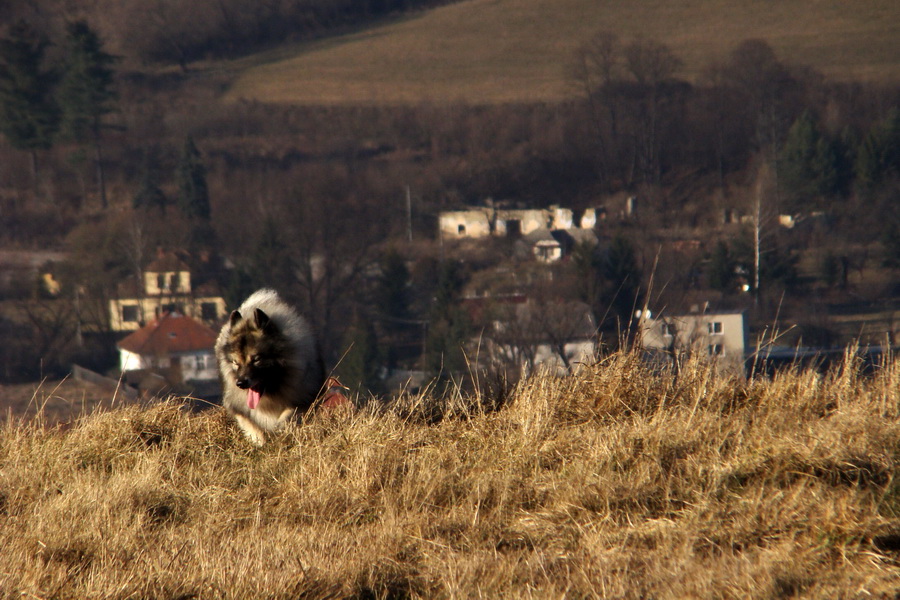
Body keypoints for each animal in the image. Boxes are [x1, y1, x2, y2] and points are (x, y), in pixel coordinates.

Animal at [214, 286, 326, 446]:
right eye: (235, 362)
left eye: (256, 359)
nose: (240, 383)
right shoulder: (240, 407)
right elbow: (252, 426)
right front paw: (260, 442)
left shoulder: (302, 398)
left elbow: (287, 417)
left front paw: (280, 431)